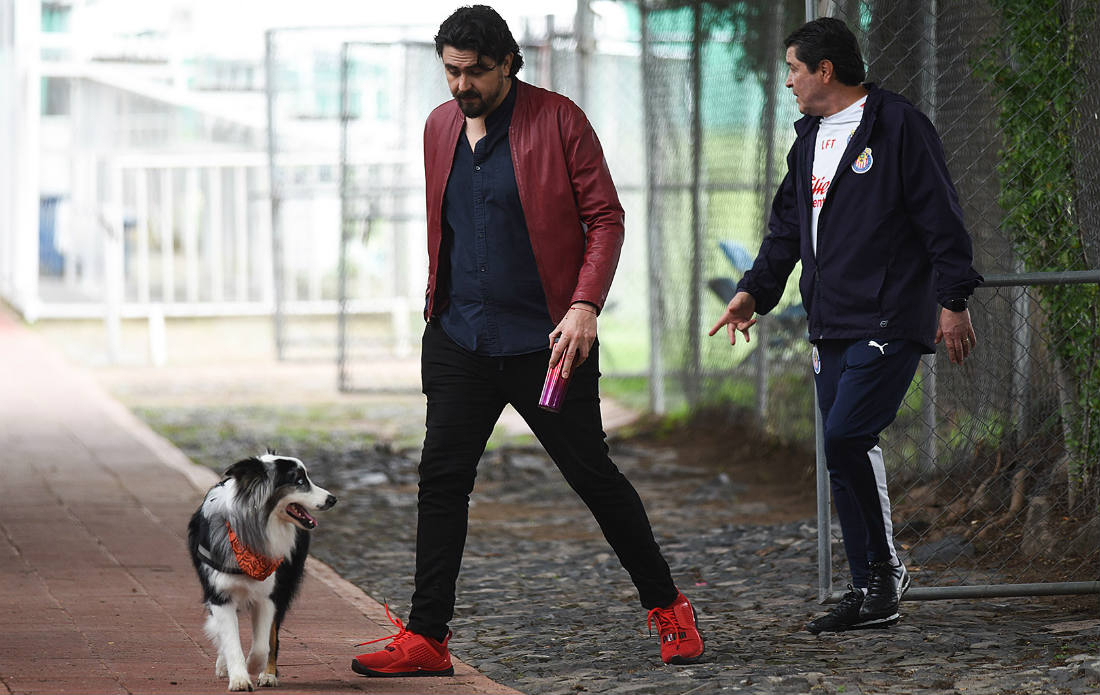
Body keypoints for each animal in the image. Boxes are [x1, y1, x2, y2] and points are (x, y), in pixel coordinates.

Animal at [188, 455, 334, 690]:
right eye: (300, 481)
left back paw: (268, 674)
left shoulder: (269, 595)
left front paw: (253, 667)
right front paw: (239, 678)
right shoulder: (219, 594)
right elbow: (230, 639)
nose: (333, 499)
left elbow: (262, 645)